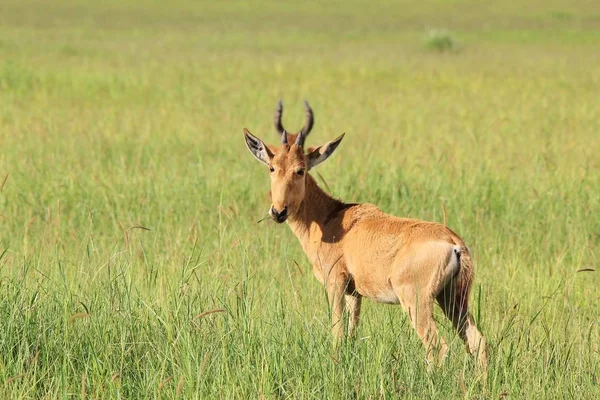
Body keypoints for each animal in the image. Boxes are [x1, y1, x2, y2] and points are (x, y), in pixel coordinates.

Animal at [243, 129, 488, 368]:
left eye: (300, 170)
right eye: (272, 167)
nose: (278, 212)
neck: (332, 218)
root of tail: (454, 244)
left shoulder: (335, 284)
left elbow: (338, 333)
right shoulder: (354, 293)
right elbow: (351, 334)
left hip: (417, 301)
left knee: (438, 347)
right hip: (452, 299)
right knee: (478, 342)